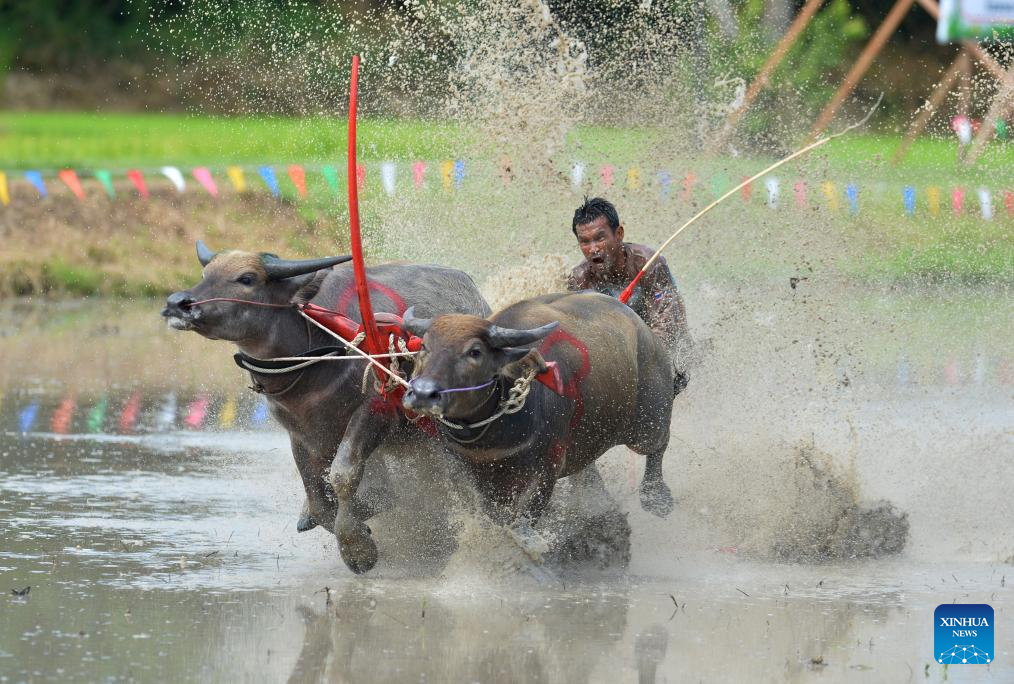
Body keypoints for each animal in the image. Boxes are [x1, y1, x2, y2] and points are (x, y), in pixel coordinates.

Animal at [160, 243, 488, 575]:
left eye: (247, 279)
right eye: (205, 274)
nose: (178, 304)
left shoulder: (375, 412)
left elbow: (344, 475)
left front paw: (357, 548)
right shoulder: (301, 432)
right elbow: (318, 494)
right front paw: (344, 517)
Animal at [399, 289, 677, 547]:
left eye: (475, 352)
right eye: (424, 346)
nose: (422, 393)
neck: (488, 436)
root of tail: (641, 327)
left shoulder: (546, 468)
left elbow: (527, 513)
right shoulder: (462, 468)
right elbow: (488, 512)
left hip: (648, 422)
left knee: (659, 445)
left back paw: (657, 497)